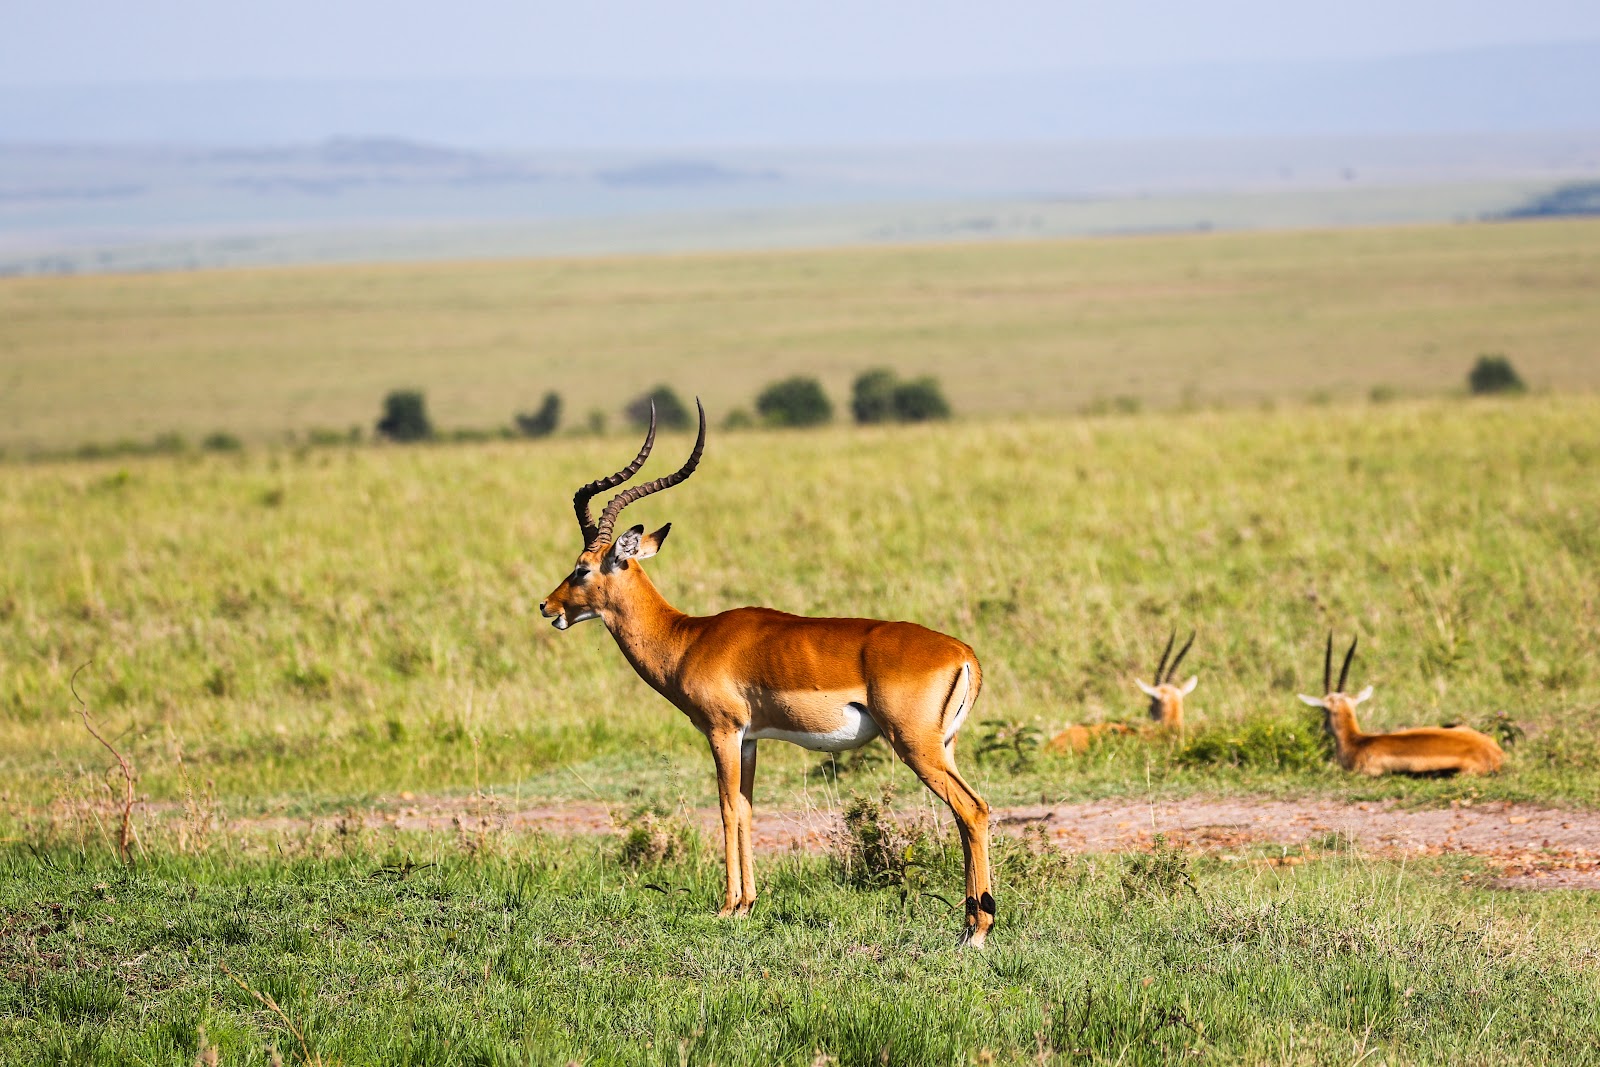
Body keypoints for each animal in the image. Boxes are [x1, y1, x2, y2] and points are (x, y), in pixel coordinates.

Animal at [538, 401, 997, 945]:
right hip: (943, 746)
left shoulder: (722, 732)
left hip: (915, 745)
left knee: (972, 809)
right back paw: (969, 923)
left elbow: (725, 808)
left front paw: (728, 907)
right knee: (967, 813)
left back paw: (977, 930)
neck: (687, 637)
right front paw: (748, 904)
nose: (547, 607)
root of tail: (963, 653)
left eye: (582, 568)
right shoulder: (751, 739)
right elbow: (748, 808)